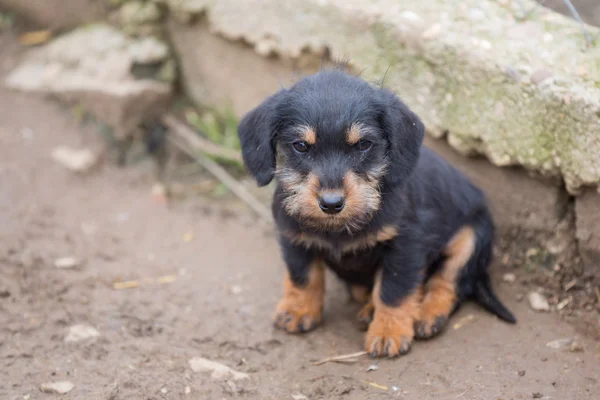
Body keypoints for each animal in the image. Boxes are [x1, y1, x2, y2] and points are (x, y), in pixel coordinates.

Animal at [237, 68, 512, 356]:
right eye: (301, 146)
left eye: (363, 145)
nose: (331, 203)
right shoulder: (294, 238)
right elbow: (303, 277)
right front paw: (298, 310)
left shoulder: (405, 246)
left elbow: (394, 290)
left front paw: (388, 332)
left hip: (470, 239)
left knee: (448, 282)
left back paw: (427, 313)